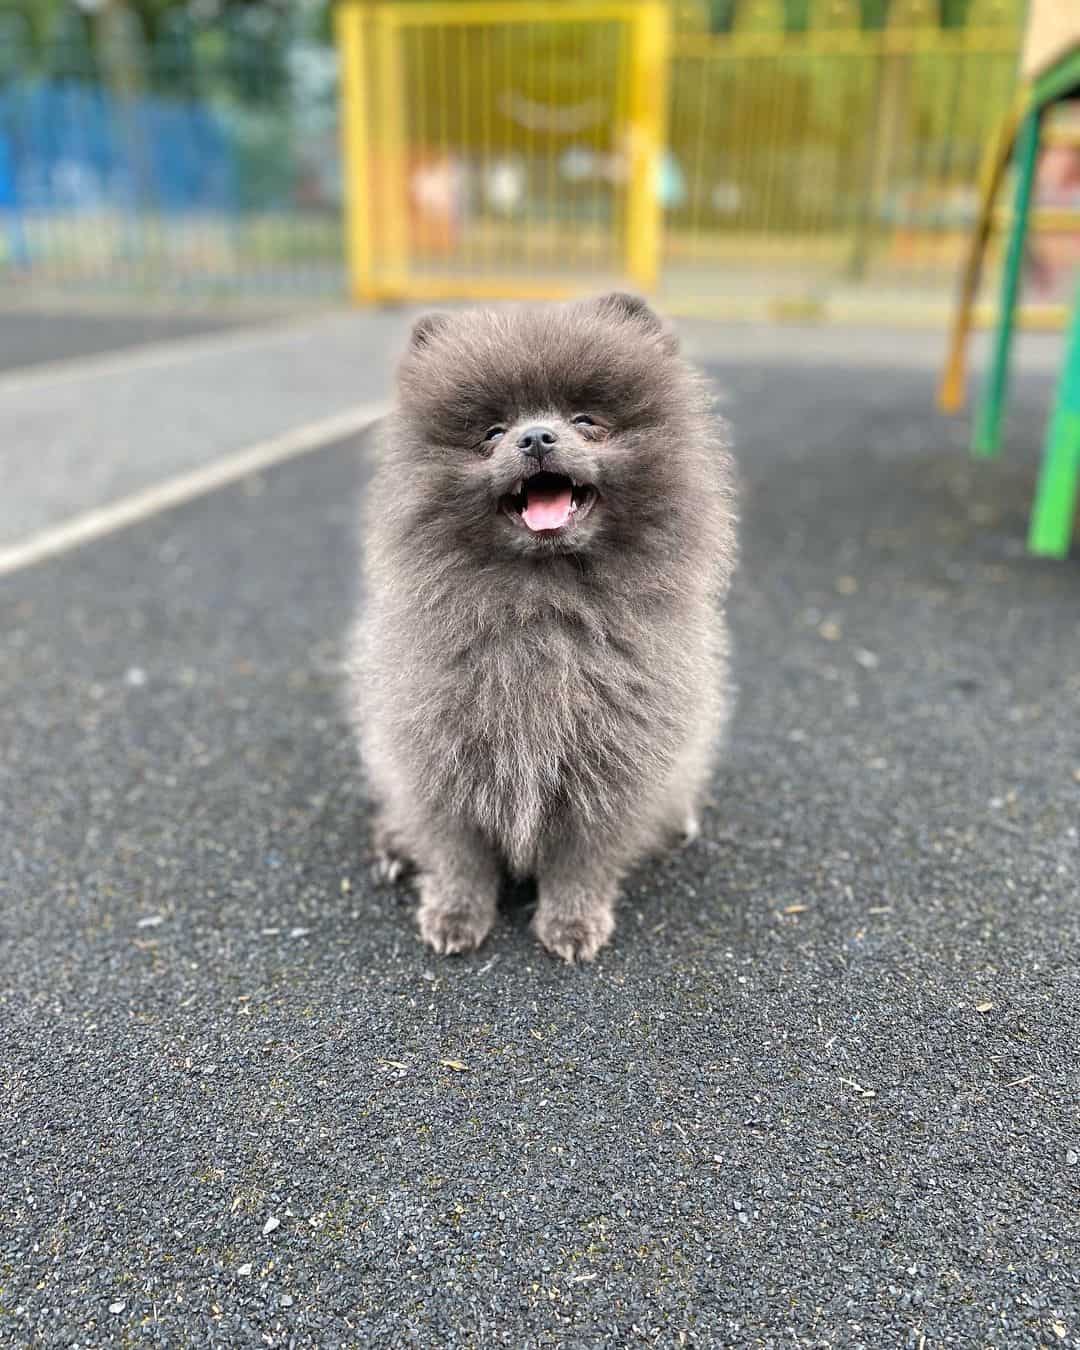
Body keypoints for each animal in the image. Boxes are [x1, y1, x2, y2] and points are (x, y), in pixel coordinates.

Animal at [345, 292, 734, 961]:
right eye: (492, 432)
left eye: (585, 419)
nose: (535, 437)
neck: (542, 611)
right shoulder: (437, 755)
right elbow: (457, 853)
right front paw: (454, 914)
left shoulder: (610, 763)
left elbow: (582, 859)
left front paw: (572, 923)